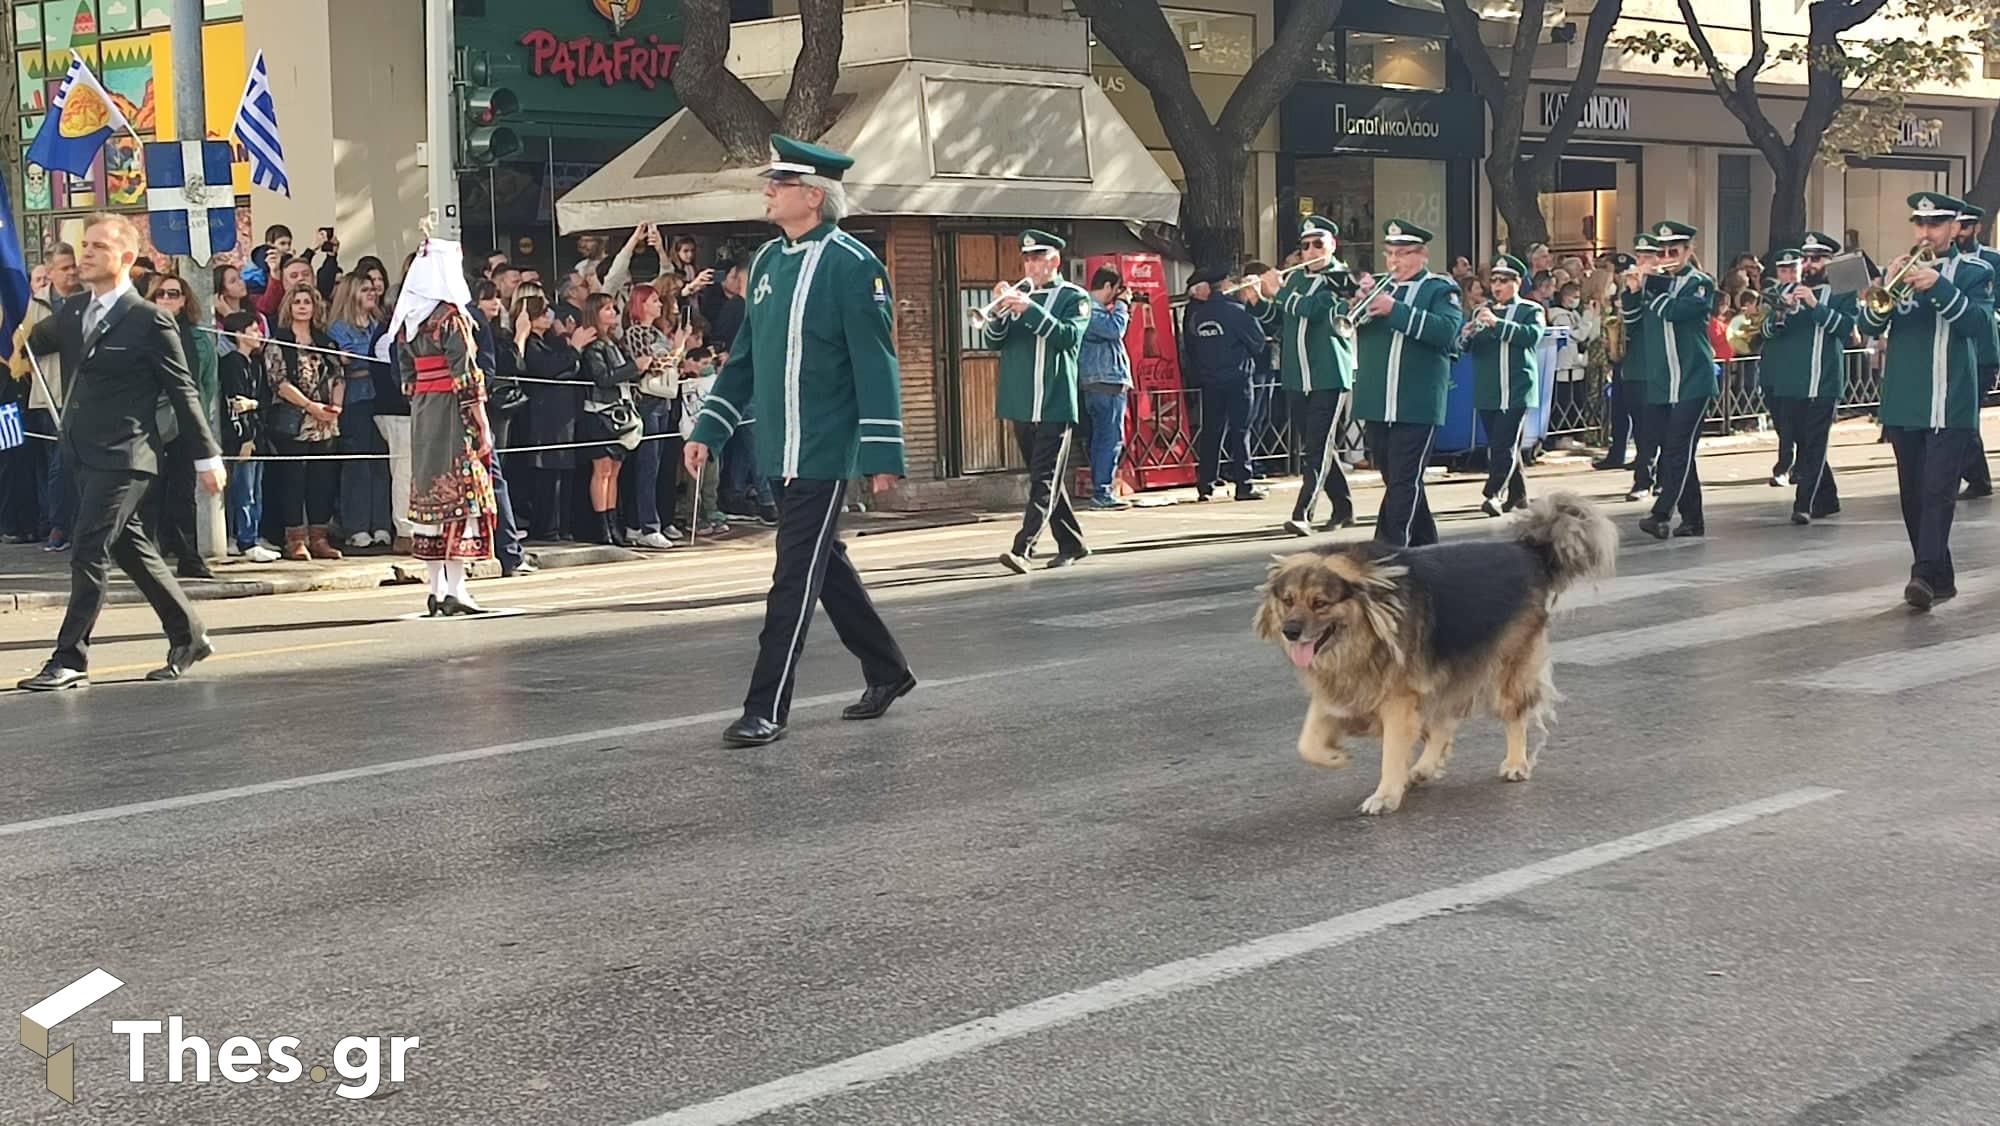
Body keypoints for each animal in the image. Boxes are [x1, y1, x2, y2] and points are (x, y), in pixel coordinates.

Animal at [1256, 490, 1616, 816]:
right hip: (1447, 672)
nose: (1290, 631)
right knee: (1444, 722)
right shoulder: (1345, 687)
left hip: (1506, 667)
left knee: (1513, 715)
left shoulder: (1398, 698)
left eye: (1320, 603)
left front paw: (1385, 795)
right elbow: (1307, 742)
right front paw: (1334, 756)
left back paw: (1515, 763)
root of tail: (1528, 551)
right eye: (1288, 600)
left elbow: (1392, 750)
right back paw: (1424, 768)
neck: (1368, 624)